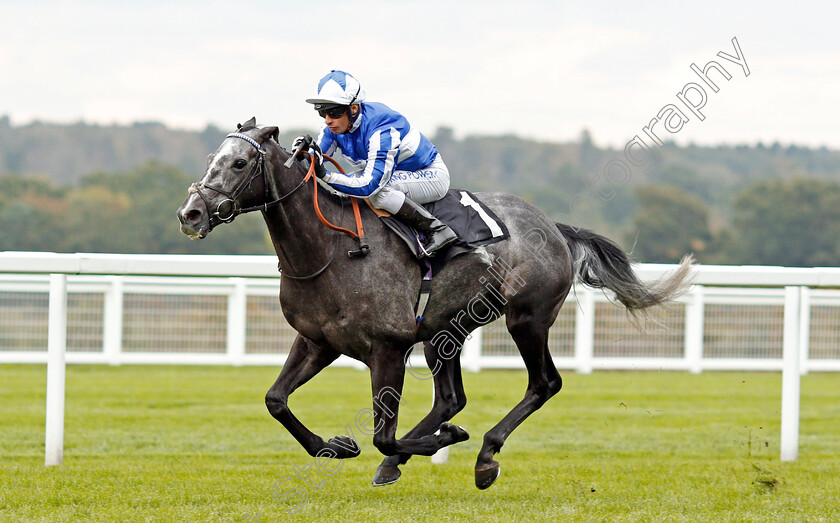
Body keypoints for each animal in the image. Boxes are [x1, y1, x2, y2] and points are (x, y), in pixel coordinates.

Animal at [176, 119, 688, 492]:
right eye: (211, 159)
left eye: (239, 162)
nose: (191, 214)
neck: (329, 249)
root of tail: (555, 228)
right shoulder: (317, 341)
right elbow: (276, 401)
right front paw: (337, 445)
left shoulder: (387, 347)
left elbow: (382, 434)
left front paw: (441, 441)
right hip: (446, 331)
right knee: (451, 398)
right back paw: (411, 457)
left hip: (527, 319)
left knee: (544, 383)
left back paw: (484, 455)